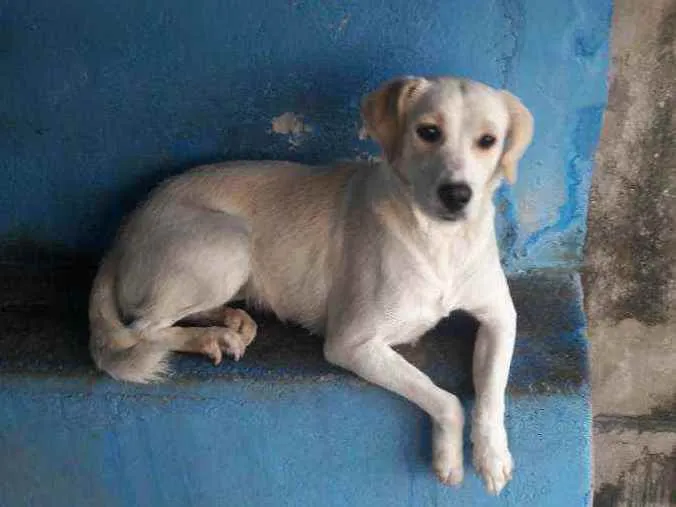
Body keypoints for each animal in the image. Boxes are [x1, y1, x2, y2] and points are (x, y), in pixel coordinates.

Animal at [88, 76, 532, 496]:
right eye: (428, 131)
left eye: (488, 140)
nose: (457, 195)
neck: (441, 241)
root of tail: (124, 232)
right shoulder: (351, 343)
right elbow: (445, 399)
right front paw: (449, 456)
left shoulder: (501, 317)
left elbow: (492, 392)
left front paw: (493, 455)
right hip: (230, 241)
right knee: (142, 329)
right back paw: (209, 337)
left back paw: (230, 320)